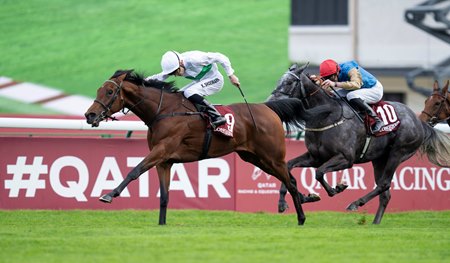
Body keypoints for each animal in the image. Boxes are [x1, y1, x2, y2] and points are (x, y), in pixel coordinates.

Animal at [84, 70, 316, 227]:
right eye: (98, 90)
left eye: (110, 91)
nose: (90, 115)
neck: (164, 111)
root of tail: (268, 108)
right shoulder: (164, 161)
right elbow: (164, 196)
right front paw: (161, 224)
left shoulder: (161, 150)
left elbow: (135, 170)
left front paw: (109, 194)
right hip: (254, 158)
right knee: (290, 178)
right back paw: (307, 200)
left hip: (272, 156)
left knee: (290, 180)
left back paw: (302, 216)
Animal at [268, 64, 450, 225]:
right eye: (279, 81)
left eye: (290, 82)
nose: (270, 101)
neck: (327, 115)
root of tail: (420, 122)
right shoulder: (315, 157)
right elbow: (289, 166)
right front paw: (287, 201)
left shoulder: (346, 159)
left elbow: (319, 173)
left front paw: (335, 189)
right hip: (379, 159)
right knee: (385, 193)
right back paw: (375, 223)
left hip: (398, 153)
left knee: (384, 184)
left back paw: (356, 203)